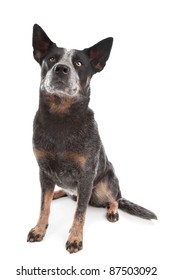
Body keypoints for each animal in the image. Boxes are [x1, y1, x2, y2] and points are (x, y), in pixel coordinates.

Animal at [27, 24, 157, 254]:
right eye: (51, 59)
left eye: (78, 63)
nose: (61, 68)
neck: (61, 119)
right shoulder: (44, 171)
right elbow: (44, 206)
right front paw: (39, 229)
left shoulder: (86, 175)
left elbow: (80, 213)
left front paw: (75, 239)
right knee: (60, 193)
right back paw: (57, 193)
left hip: (108, 182)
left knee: (115, 198)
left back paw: (112, 210)